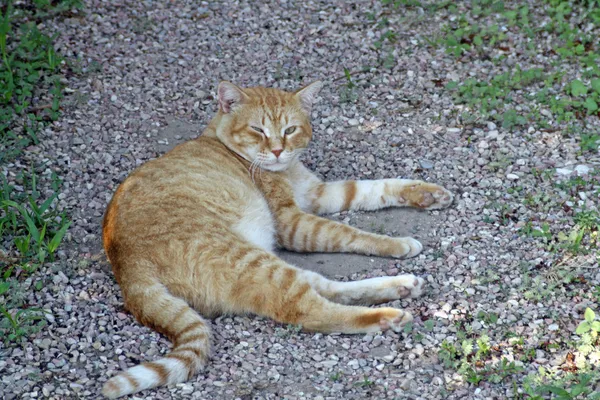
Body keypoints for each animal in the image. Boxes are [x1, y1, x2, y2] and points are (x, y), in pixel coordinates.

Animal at [101, 80, 452, 396]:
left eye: (290, 130)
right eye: (258, 130)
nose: (278, 150)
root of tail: (127, 266)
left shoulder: (317, 194)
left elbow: (373, 187)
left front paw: (426, 193)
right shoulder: (292, 222)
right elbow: (347, 232)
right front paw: (398, 243)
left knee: (324, 286)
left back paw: (401, 285)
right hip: (252, 261)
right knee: (311, 311)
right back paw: (389, 316)